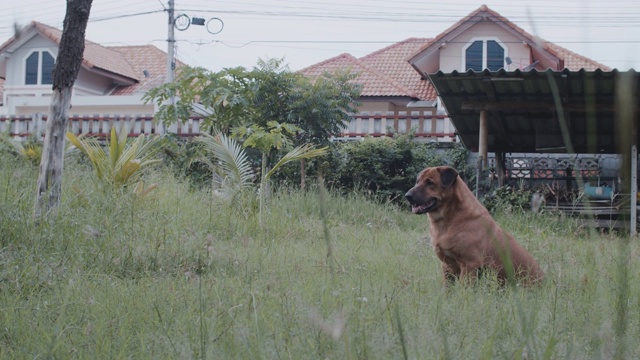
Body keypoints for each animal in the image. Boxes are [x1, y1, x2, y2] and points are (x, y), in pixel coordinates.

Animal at [408, 167, 544, 286]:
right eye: (417, 181)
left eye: (430, 182)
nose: (407, 196)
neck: (448, 221)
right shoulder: (448, 266)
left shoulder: (469, 264)